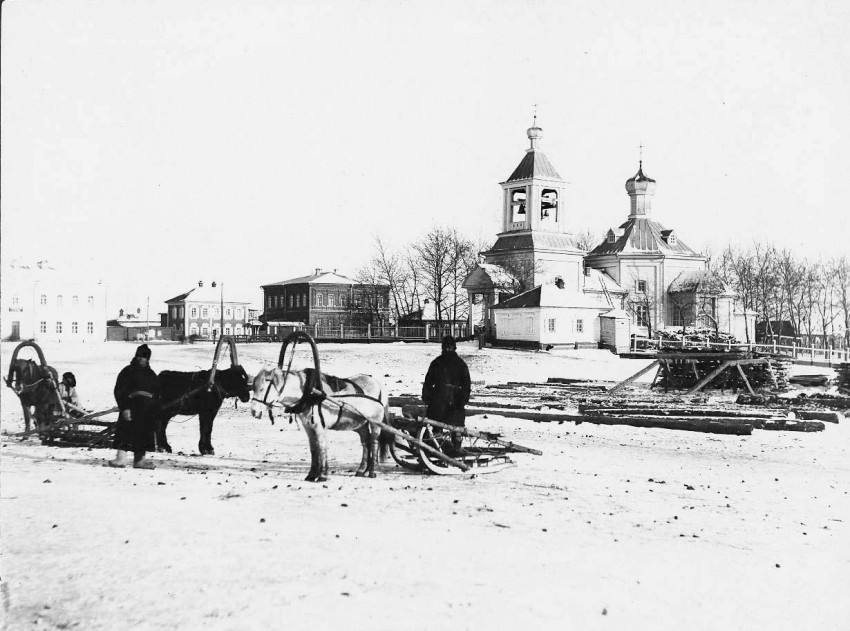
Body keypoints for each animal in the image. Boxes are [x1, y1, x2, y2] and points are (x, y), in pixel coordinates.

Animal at [247, 366, 390, 484]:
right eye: (253, 387)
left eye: (262, 388)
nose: (254, 411)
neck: (309, 394)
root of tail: (378, 384)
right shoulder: (309, 428)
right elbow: (314, 449)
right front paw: (311, 475)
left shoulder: (320, 427)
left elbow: (322, 448)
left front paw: (323, 475)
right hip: (361, 424)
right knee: (366, 443)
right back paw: (362, 470)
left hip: (375, 423)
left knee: (374, 443)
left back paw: (372, 471)